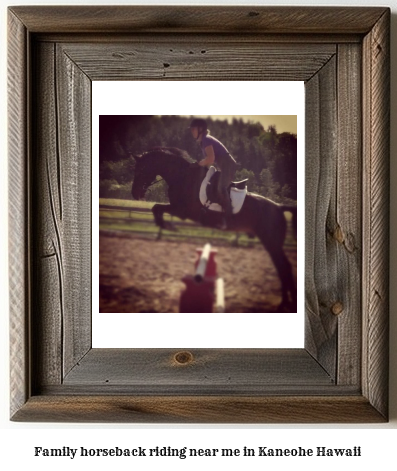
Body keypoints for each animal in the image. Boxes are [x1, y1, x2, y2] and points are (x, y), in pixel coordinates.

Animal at [131, 147, 296, 310]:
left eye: (141, 170)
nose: (135, 193)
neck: (182, 177)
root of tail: (279, 207)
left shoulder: (182, 211)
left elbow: (157, 208)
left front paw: (168, 226)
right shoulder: (177, 208)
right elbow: (156, 208)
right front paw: (165, 225)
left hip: (272, 243)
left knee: (284, 267)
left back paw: (285, 303)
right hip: (272, 243)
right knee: (283, 268)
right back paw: (286, 302)